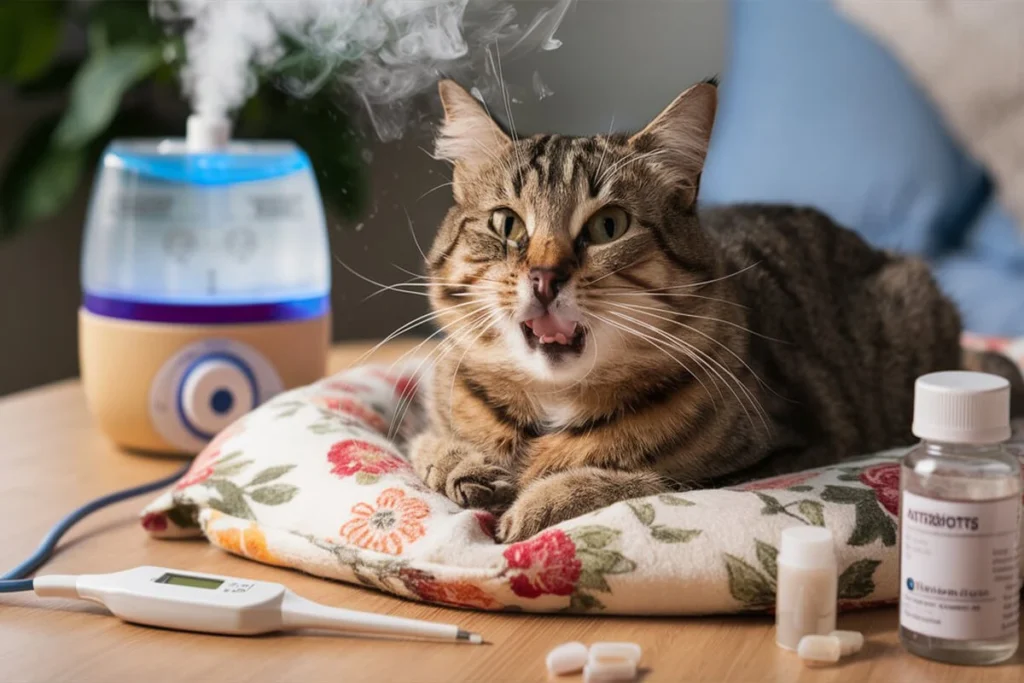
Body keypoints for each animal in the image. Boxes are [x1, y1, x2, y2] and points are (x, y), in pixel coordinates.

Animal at [407, 80, 1024, 540]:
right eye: (506, 224)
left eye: (609, 226)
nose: (544, 276)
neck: (553, 404)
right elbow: (422, 440)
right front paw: (462, 463)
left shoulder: (785, 451)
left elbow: (650, 480)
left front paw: (543, 501)